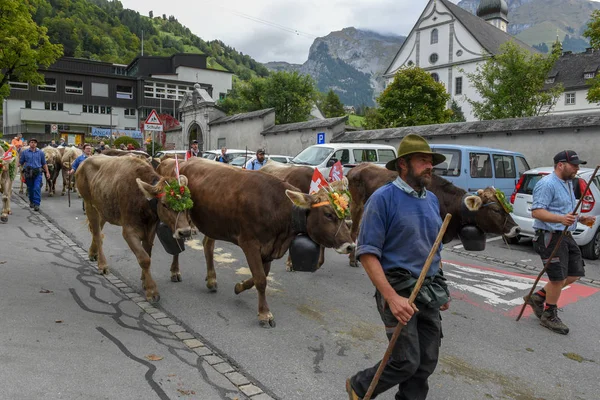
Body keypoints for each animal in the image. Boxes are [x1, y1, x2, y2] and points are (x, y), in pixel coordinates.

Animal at [74, 155, 192, 302]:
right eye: (164, 204)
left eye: (188, 203)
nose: (185, 232)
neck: (143, 202)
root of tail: (85, 161)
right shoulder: (129, 231)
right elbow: (144, 258)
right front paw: (152, 291)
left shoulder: (150, 229)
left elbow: (147, 253)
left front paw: (144, 281)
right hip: (89, 204)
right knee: (96, 233)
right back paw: (102, 265)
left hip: (104, 209)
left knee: (97, 230)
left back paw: (92, 253)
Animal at [162, 158, 354, 326]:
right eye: (328, 214)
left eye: (345, 212)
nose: (350, 246)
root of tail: (185, 161)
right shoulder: (250, 243)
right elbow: (261, 279)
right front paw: (264, 314)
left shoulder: (269, 248)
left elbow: (260, 275)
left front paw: (239, 286)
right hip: (181, 218)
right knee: (177, 240)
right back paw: (175, 271)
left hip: (213, 223)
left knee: (208, 245)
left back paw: (211, 279)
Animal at [344, 164, 524, 268]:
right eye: (495, 210)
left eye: (506, 208)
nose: (517, 229)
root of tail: (357, 167)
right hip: (356, 205)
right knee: (353, 231)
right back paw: (352, 259)